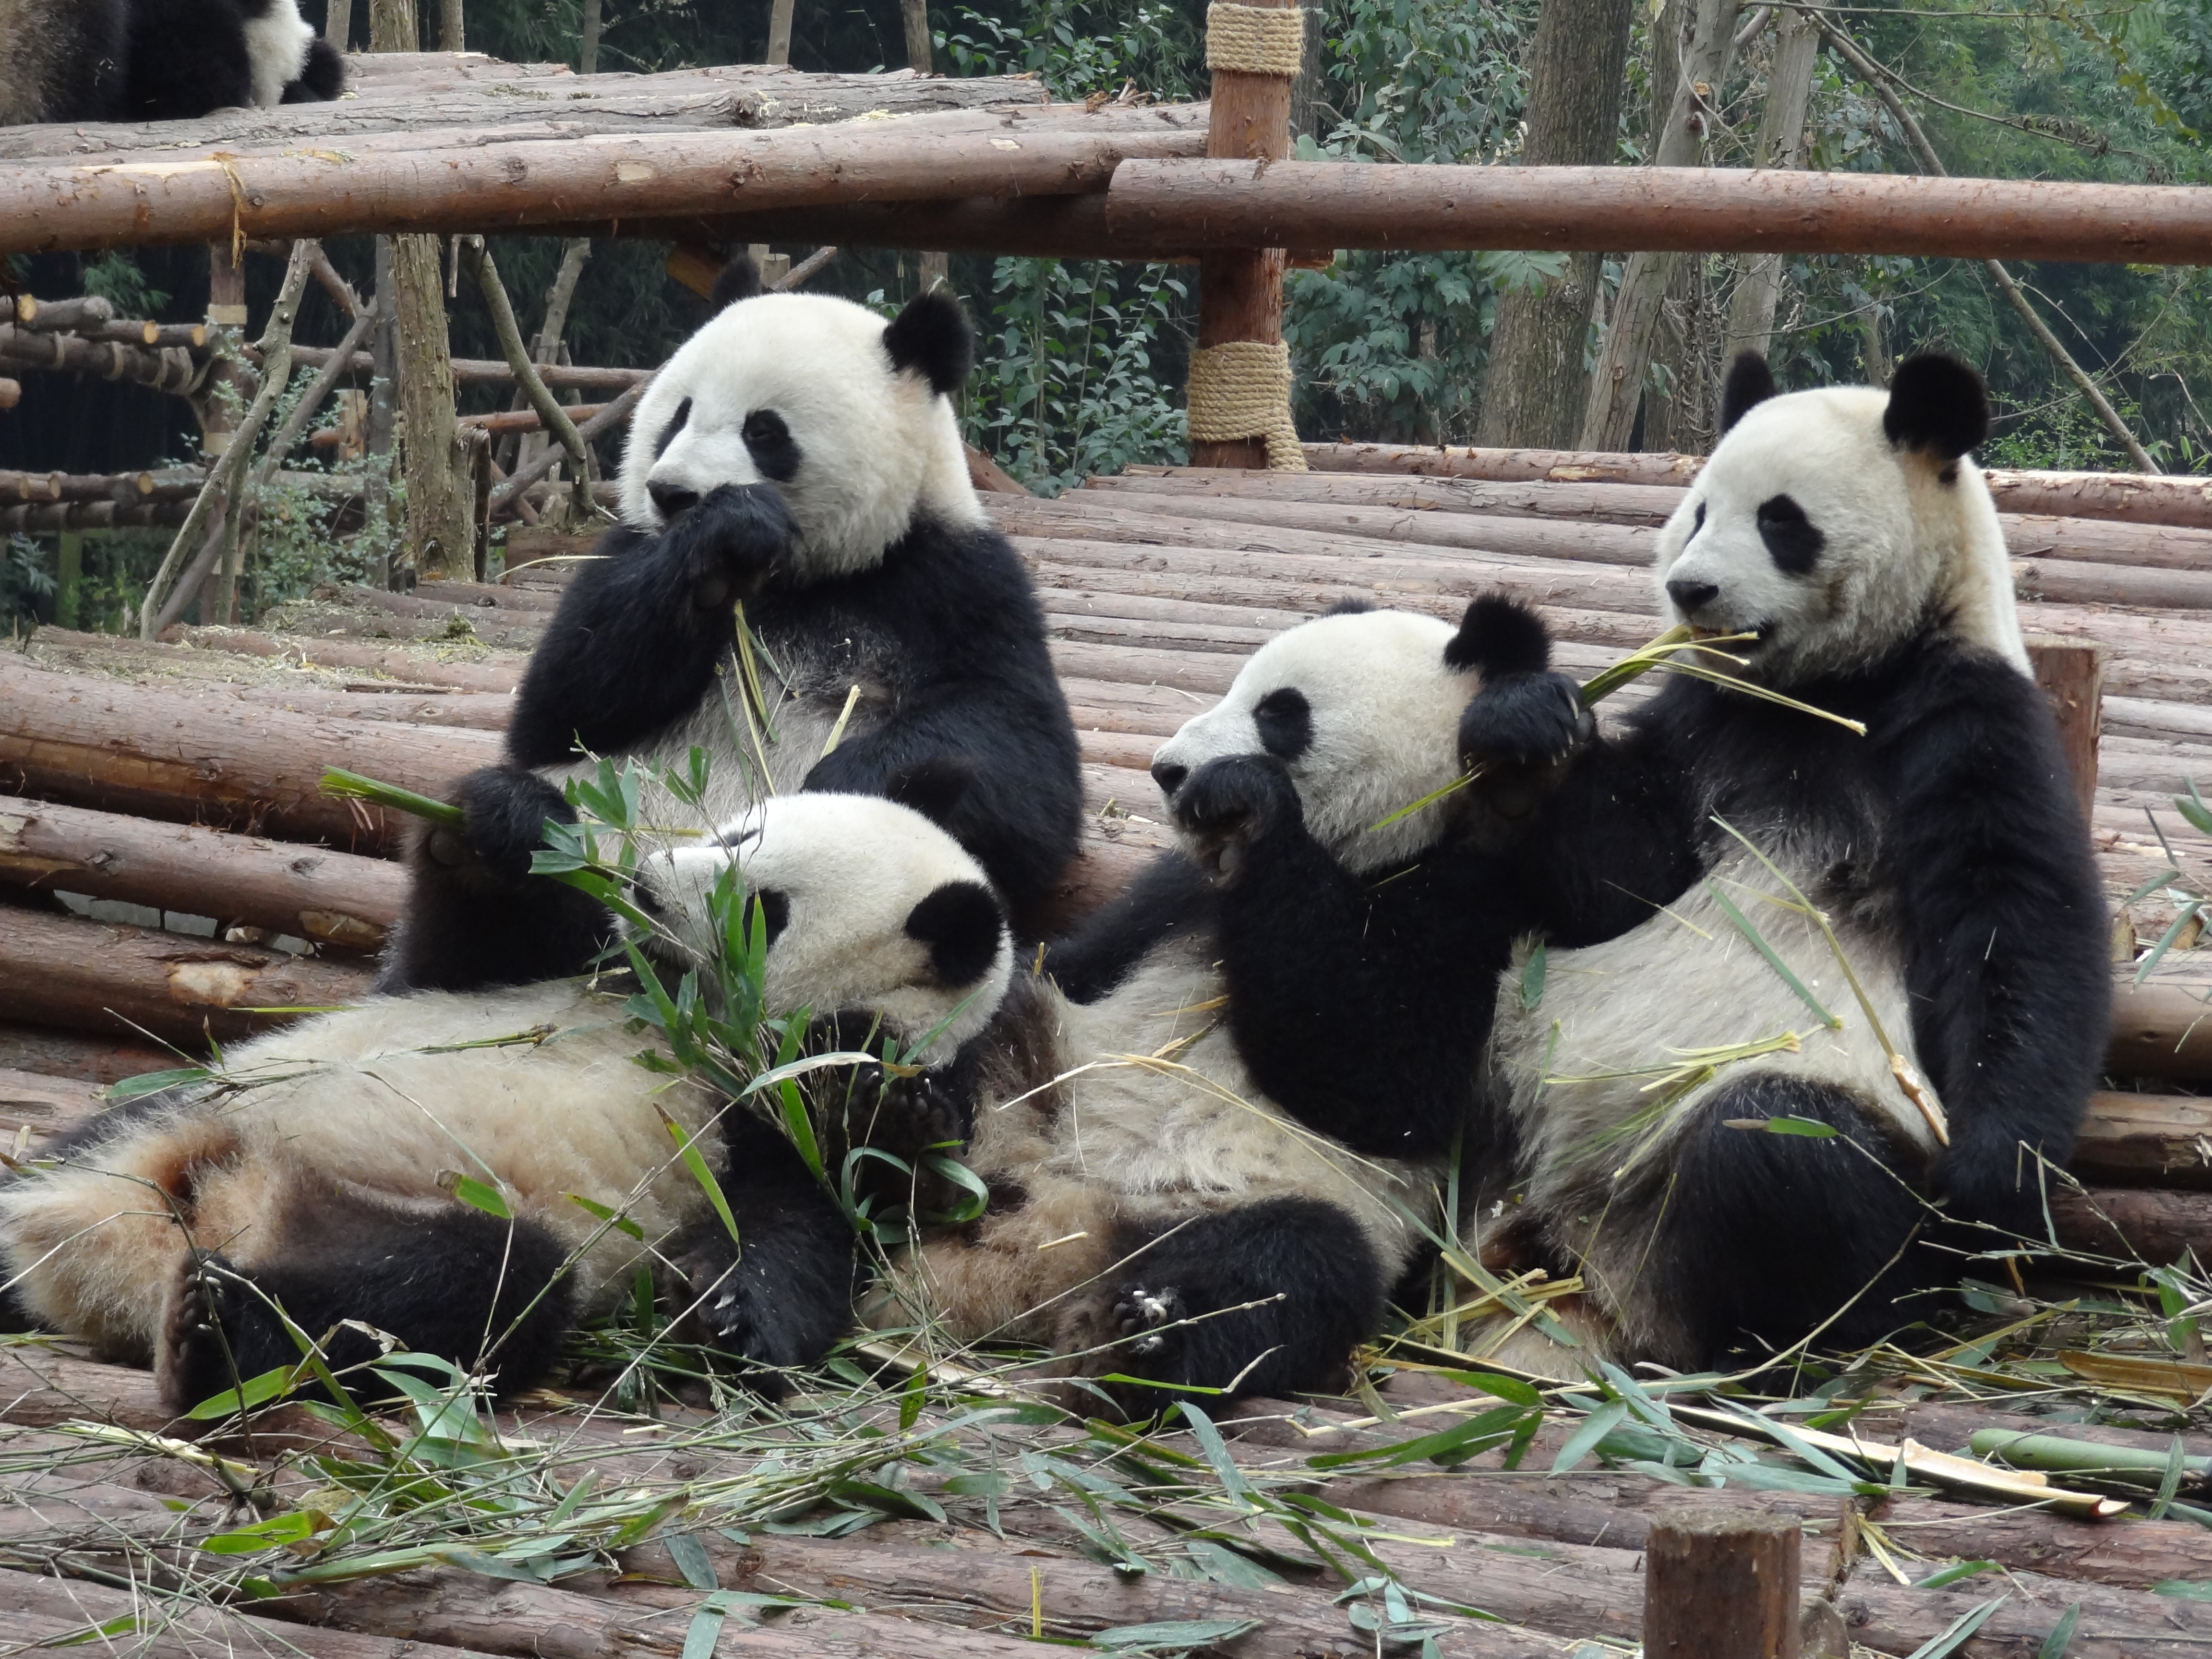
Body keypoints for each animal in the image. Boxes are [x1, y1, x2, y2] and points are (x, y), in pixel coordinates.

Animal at [0, 796, 1013, 1416]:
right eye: (735, 832)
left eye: (765, 907)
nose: (645, 882)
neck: (696, 1010)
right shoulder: (576, 969)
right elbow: (454, 954)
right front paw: (500, 825)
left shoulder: (787, 1105)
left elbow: (808, 1212)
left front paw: (730, 1311)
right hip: (184, 1111)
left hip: (396, 1215)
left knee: (467, 1284)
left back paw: (213, 1328)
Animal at [385, 263, 1083, 999]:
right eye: (678, 415)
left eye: (765, 431)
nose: (673, 493)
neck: (799, 579)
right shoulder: (626, 554)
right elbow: (561, 709)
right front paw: (723, 542)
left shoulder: (955, 584)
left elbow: (1024, 761)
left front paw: (846, 779)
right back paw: (494, 843)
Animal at [1451, 354, 2105, 1380]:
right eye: (1696, 511)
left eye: (1781, 521)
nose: (1689, 591)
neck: (1823, 691)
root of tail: (1578, 1249)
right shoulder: (1705, 726)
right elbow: (1614, 877)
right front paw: (1522, 741)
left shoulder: (1965, 716)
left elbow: (2015, 921)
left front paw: (1993, 1176)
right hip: (1508, 1063)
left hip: (1745, 1144)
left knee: (1781, 1149)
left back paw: (1813, 1331)